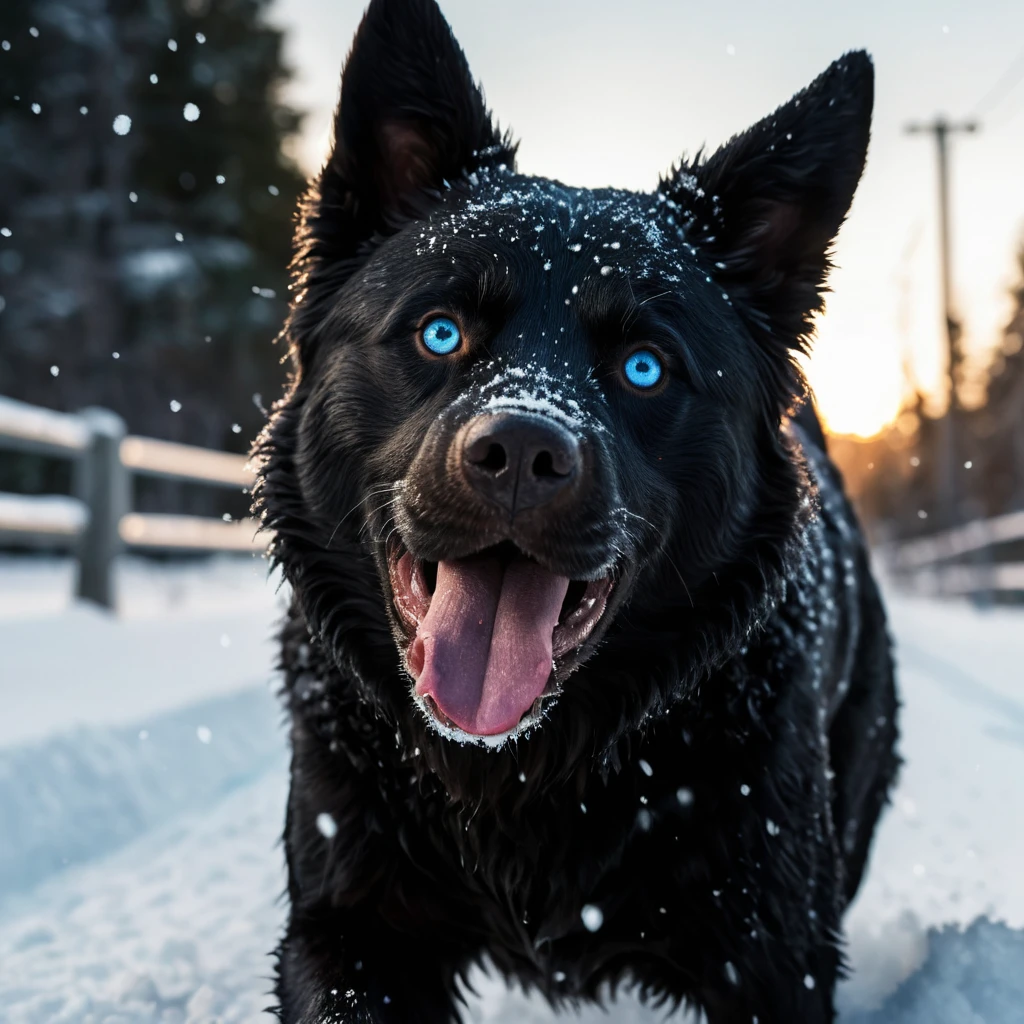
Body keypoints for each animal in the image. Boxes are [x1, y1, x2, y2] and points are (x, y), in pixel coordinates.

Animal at [256, 4, 897, 1019]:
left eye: (644, 366)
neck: (518, 774)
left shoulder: (773, 954)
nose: (521, 453)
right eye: (440, 332)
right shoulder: (347, 928)